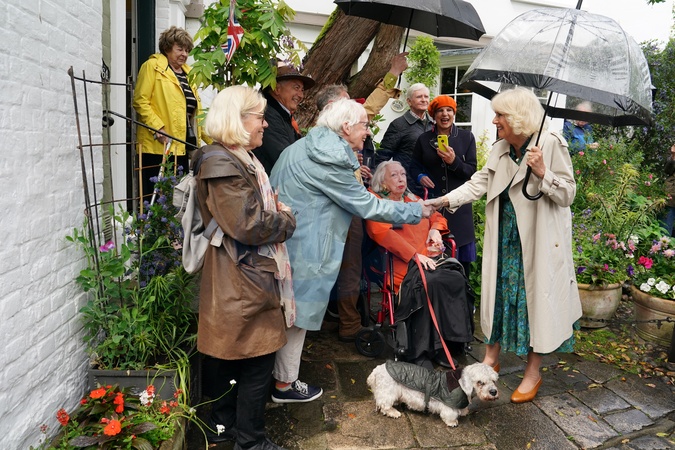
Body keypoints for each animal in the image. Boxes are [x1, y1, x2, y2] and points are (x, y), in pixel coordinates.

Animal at [366, 360, 499, 427]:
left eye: (494, 380)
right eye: (480, 382)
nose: (494, 392)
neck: (460, 383)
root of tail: (376, 371)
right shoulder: (448, 407)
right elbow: (450, 415)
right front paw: (452, 423)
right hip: (388, 391)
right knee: (384, 405)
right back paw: (393, 412)